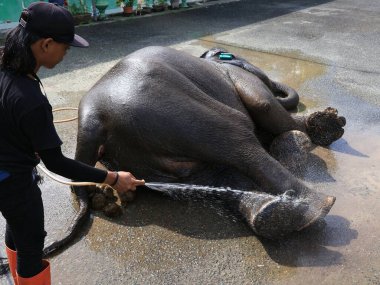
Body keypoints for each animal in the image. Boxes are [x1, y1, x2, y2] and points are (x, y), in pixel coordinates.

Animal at [40, 46, 344, 255]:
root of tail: (91, 117)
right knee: (238, 138)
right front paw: (326, 125)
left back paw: (274, 217)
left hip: (146, 155)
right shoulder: (239, 77)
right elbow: (265, 106)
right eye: (239, 60)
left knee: (219, 176)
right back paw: (317, 207)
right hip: (177, 113)